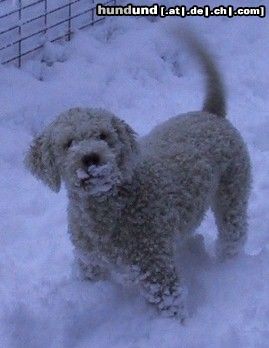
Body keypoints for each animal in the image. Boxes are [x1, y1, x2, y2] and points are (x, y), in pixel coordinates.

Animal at [24, 32, 249, 320]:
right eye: (69, 143)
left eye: (103, 136)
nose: (91, 157)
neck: (108, 208)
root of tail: (210, 113)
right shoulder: (90, 260)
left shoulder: (156, 267)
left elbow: (169, 304)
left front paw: (173, 328)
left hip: (232, 193)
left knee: (234, 234)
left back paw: (227, 263)